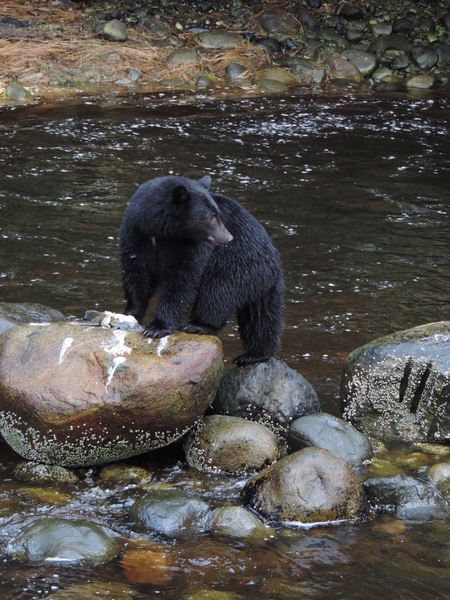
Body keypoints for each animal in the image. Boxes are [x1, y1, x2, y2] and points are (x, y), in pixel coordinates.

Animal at [118, 173, 284, 366]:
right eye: (211, 216)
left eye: (218, 214)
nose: (228, 238)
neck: (161, 231)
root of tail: (272, 264)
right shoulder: (136, 234)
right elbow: (136, 273)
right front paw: (130, 313)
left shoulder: (191, 247)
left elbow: (182, 280)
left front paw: (156, 327)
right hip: (262, 284)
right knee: (261, 317)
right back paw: (255, 354)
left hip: (235, 264)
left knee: (217, 291)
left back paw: (199, 325)